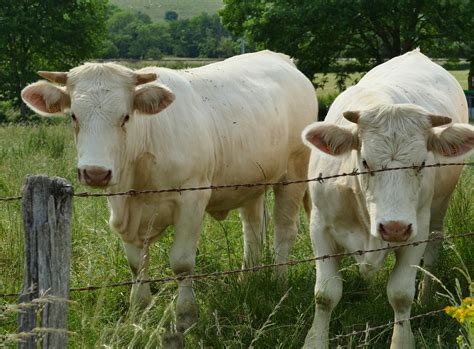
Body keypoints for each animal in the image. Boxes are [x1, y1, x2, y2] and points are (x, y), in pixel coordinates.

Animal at [22, 50, 318, 344]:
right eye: (74, 116)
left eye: (125, 117)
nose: (95, 172)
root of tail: (279, 58)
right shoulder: (123, 206)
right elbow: (136, 264)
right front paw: (139, 312)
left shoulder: (191, 199)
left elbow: (182, 263)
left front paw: (186, 316)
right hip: (252, 182)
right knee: (253, 231)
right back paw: (247, 280)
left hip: (293, 172)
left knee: (284, 230)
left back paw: (279, 282)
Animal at [302, 50, 472, 346]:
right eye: (365, 162)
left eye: (421, 164)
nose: (394, 227)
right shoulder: (319, 226)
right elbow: (325, 295)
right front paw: (315, 342)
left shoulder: (416, 231)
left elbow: (401, 295)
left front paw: (402, 341)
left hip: (438, 210)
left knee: (433, 250)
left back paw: (426, 296)